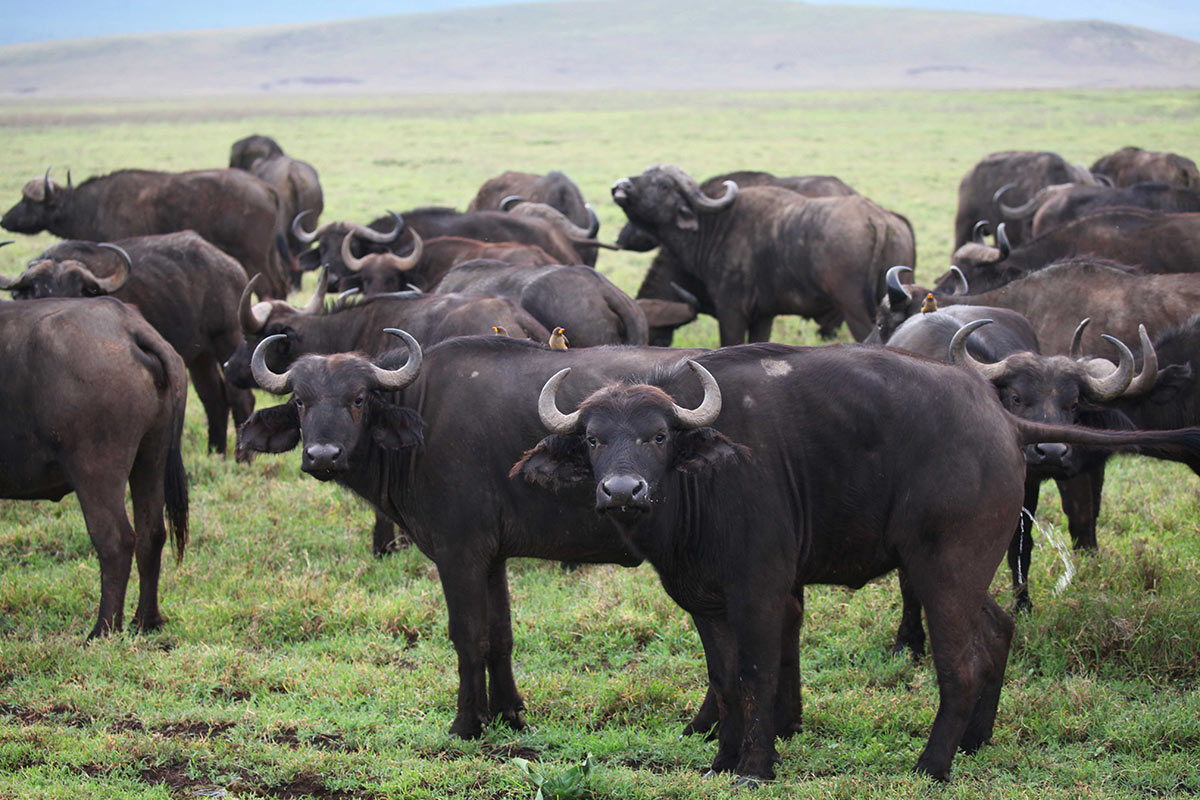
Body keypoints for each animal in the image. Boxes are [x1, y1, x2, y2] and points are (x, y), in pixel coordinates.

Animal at [0, 297, 189, 638]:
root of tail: (128, 326)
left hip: (95, 469)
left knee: (116, 540)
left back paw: (103, 629)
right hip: (151, 456)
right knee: (152, 533)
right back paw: (146, 620)